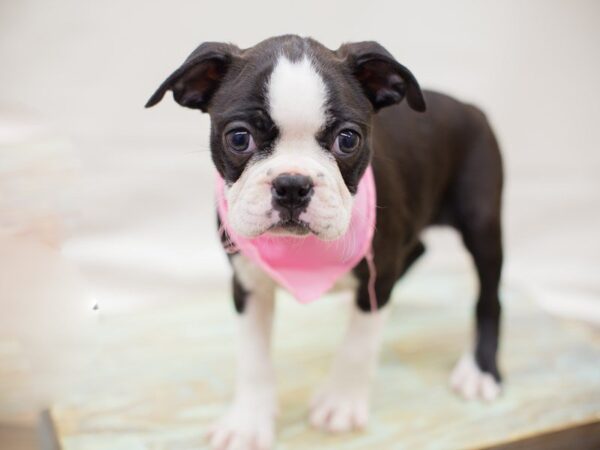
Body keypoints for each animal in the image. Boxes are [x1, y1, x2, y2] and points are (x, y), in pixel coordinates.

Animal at [148, 33, 504, 448]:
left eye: (347, 140)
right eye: (239, 138)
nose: (292, 184)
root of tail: (469, 106)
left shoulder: (377, 274)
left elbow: (358, 345)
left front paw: (341, 403)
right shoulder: (247, 283)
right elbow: (252, 357)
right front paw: (249, 422)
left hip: (482, 222)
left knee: (489, 298)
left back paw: (480, 370)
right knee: (416, 250)